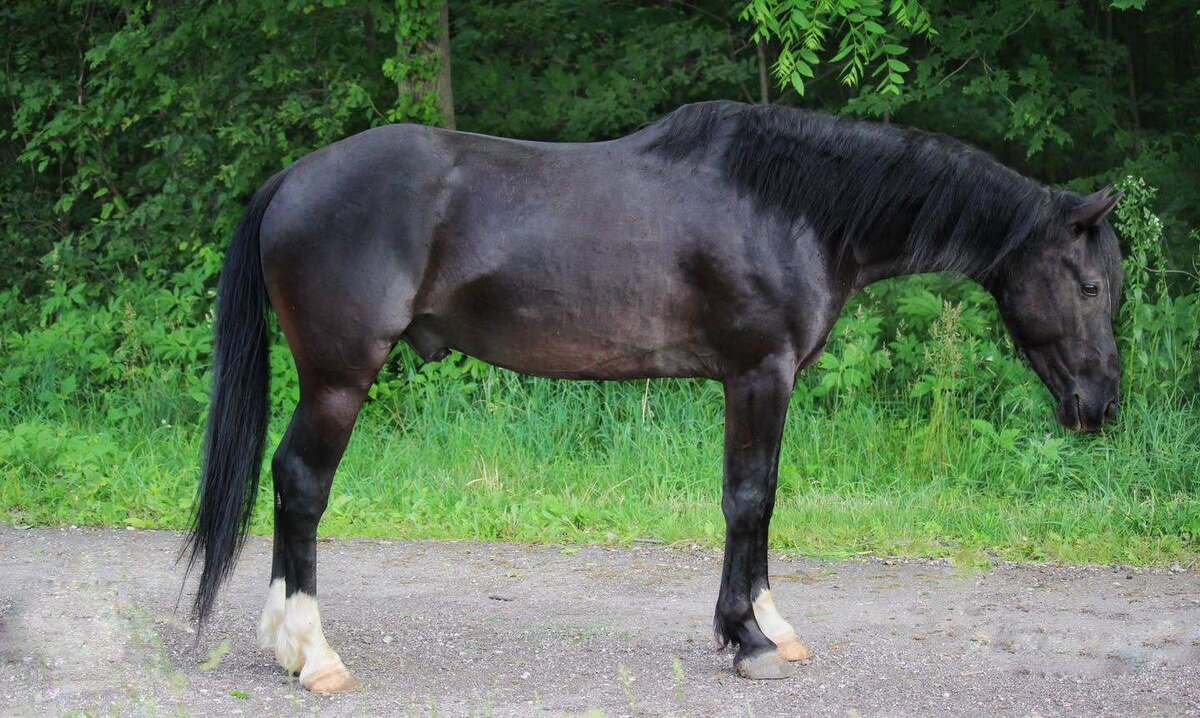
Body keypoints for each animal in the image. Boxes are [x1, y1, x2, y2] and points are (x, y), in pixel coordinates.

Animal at [184, 100, 1123, 692]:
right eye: (1086, 285)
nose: (1101, 406)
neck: (789, 209)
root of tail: (292, 180)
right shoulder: (758, 372)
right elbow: (749, 497)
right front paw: (747, 638)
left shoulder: (763, 380)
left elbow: (763, 503)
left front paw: (772, 625)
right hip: (339, 379)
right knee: (301, 486)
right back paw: (312, 653)